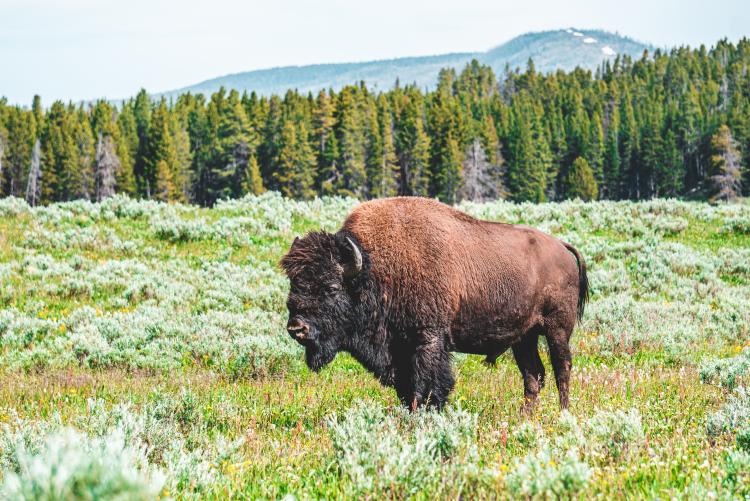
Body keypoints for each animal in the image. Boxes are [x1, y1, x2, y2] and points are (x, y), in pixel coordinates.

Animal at [280, 195, 588, 410]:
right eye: (294, 284)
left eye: (331, 288)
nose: (296, 328)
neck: (374, 269)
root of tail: (562, 246)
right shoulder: (400, 351)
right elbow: (408, 391)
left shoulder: (427, 340)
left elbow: (426, 387)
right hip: (524, 337)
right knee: (533, 376)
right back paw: (526, 417)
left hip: (557, 329)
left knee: (562, 369)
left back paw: (563, 414)